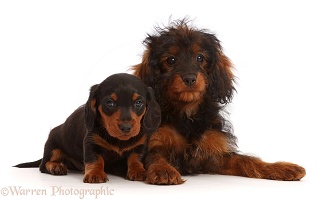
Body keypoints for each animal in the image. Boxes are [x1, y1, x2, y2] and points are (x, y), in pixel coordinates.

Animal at [14, 73, 161, 183]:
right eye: (109, 103)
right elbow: (95, 159)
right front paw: (95, 174)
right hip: (52, 146)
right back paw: (55, 167)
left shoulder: (139, 144)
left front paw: (138, 170)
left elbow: (135, 158)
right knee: (43, 165)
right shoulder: (91, 142)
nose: (126, 127)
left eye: (139, 103)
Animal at [131, 19, 304, 185]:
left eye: (200, 57)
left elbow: (247, 160)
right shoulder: (155, 143)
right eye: (171, 60)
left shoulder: (215, 156)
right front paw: (164, 170)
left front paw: (279, 168)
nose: (189, 78)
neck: (187, 114)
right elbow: (155, 157)